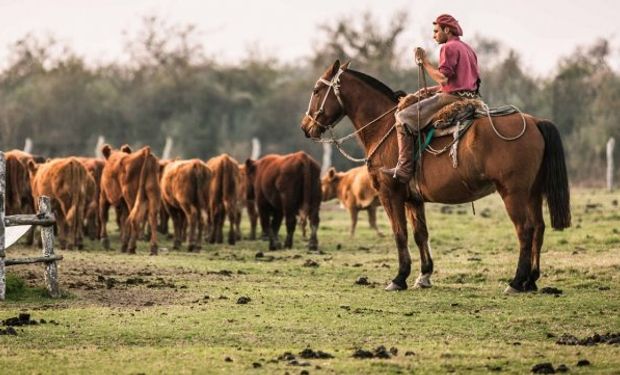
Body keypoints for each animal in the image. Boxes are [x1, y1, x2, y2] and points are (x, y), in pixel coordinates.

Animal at [300, 59, 572, 294]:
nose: (305, 127)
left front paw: (399, 277)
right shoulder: (413, 199)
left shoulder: (390, 195)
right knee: (538, 228)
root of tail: (535, 121)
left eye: (316, 90)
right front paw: (424, 275)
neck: (386, 128)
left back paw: (516, 281)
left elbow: (400, 234)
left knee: (525, 230)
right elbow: (421, 234)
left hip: (513, 193)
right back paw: (531, 280)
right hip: (533, 193)